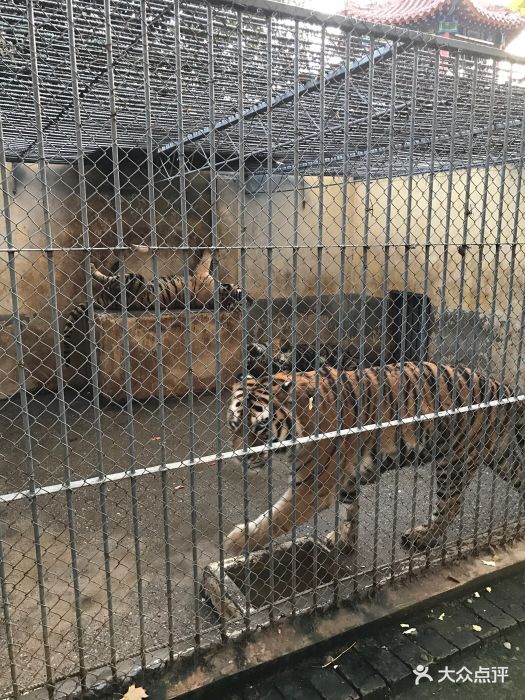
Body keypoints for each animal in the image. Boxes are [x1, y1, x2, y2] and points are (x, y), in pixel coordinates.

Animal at [223, 364, 520, 556]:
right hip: (501, 457)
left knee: (451, 505)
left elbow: (276, 519)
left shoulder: (314, 486)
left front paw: (236, 543)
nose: (241, 457)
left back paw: (423, 538)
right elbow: (350, 510)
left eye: (261, 426)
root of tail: (501, 386)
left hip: (456, 462)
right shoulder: (345, 478)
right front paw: (345, 540)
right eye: (234, 424)